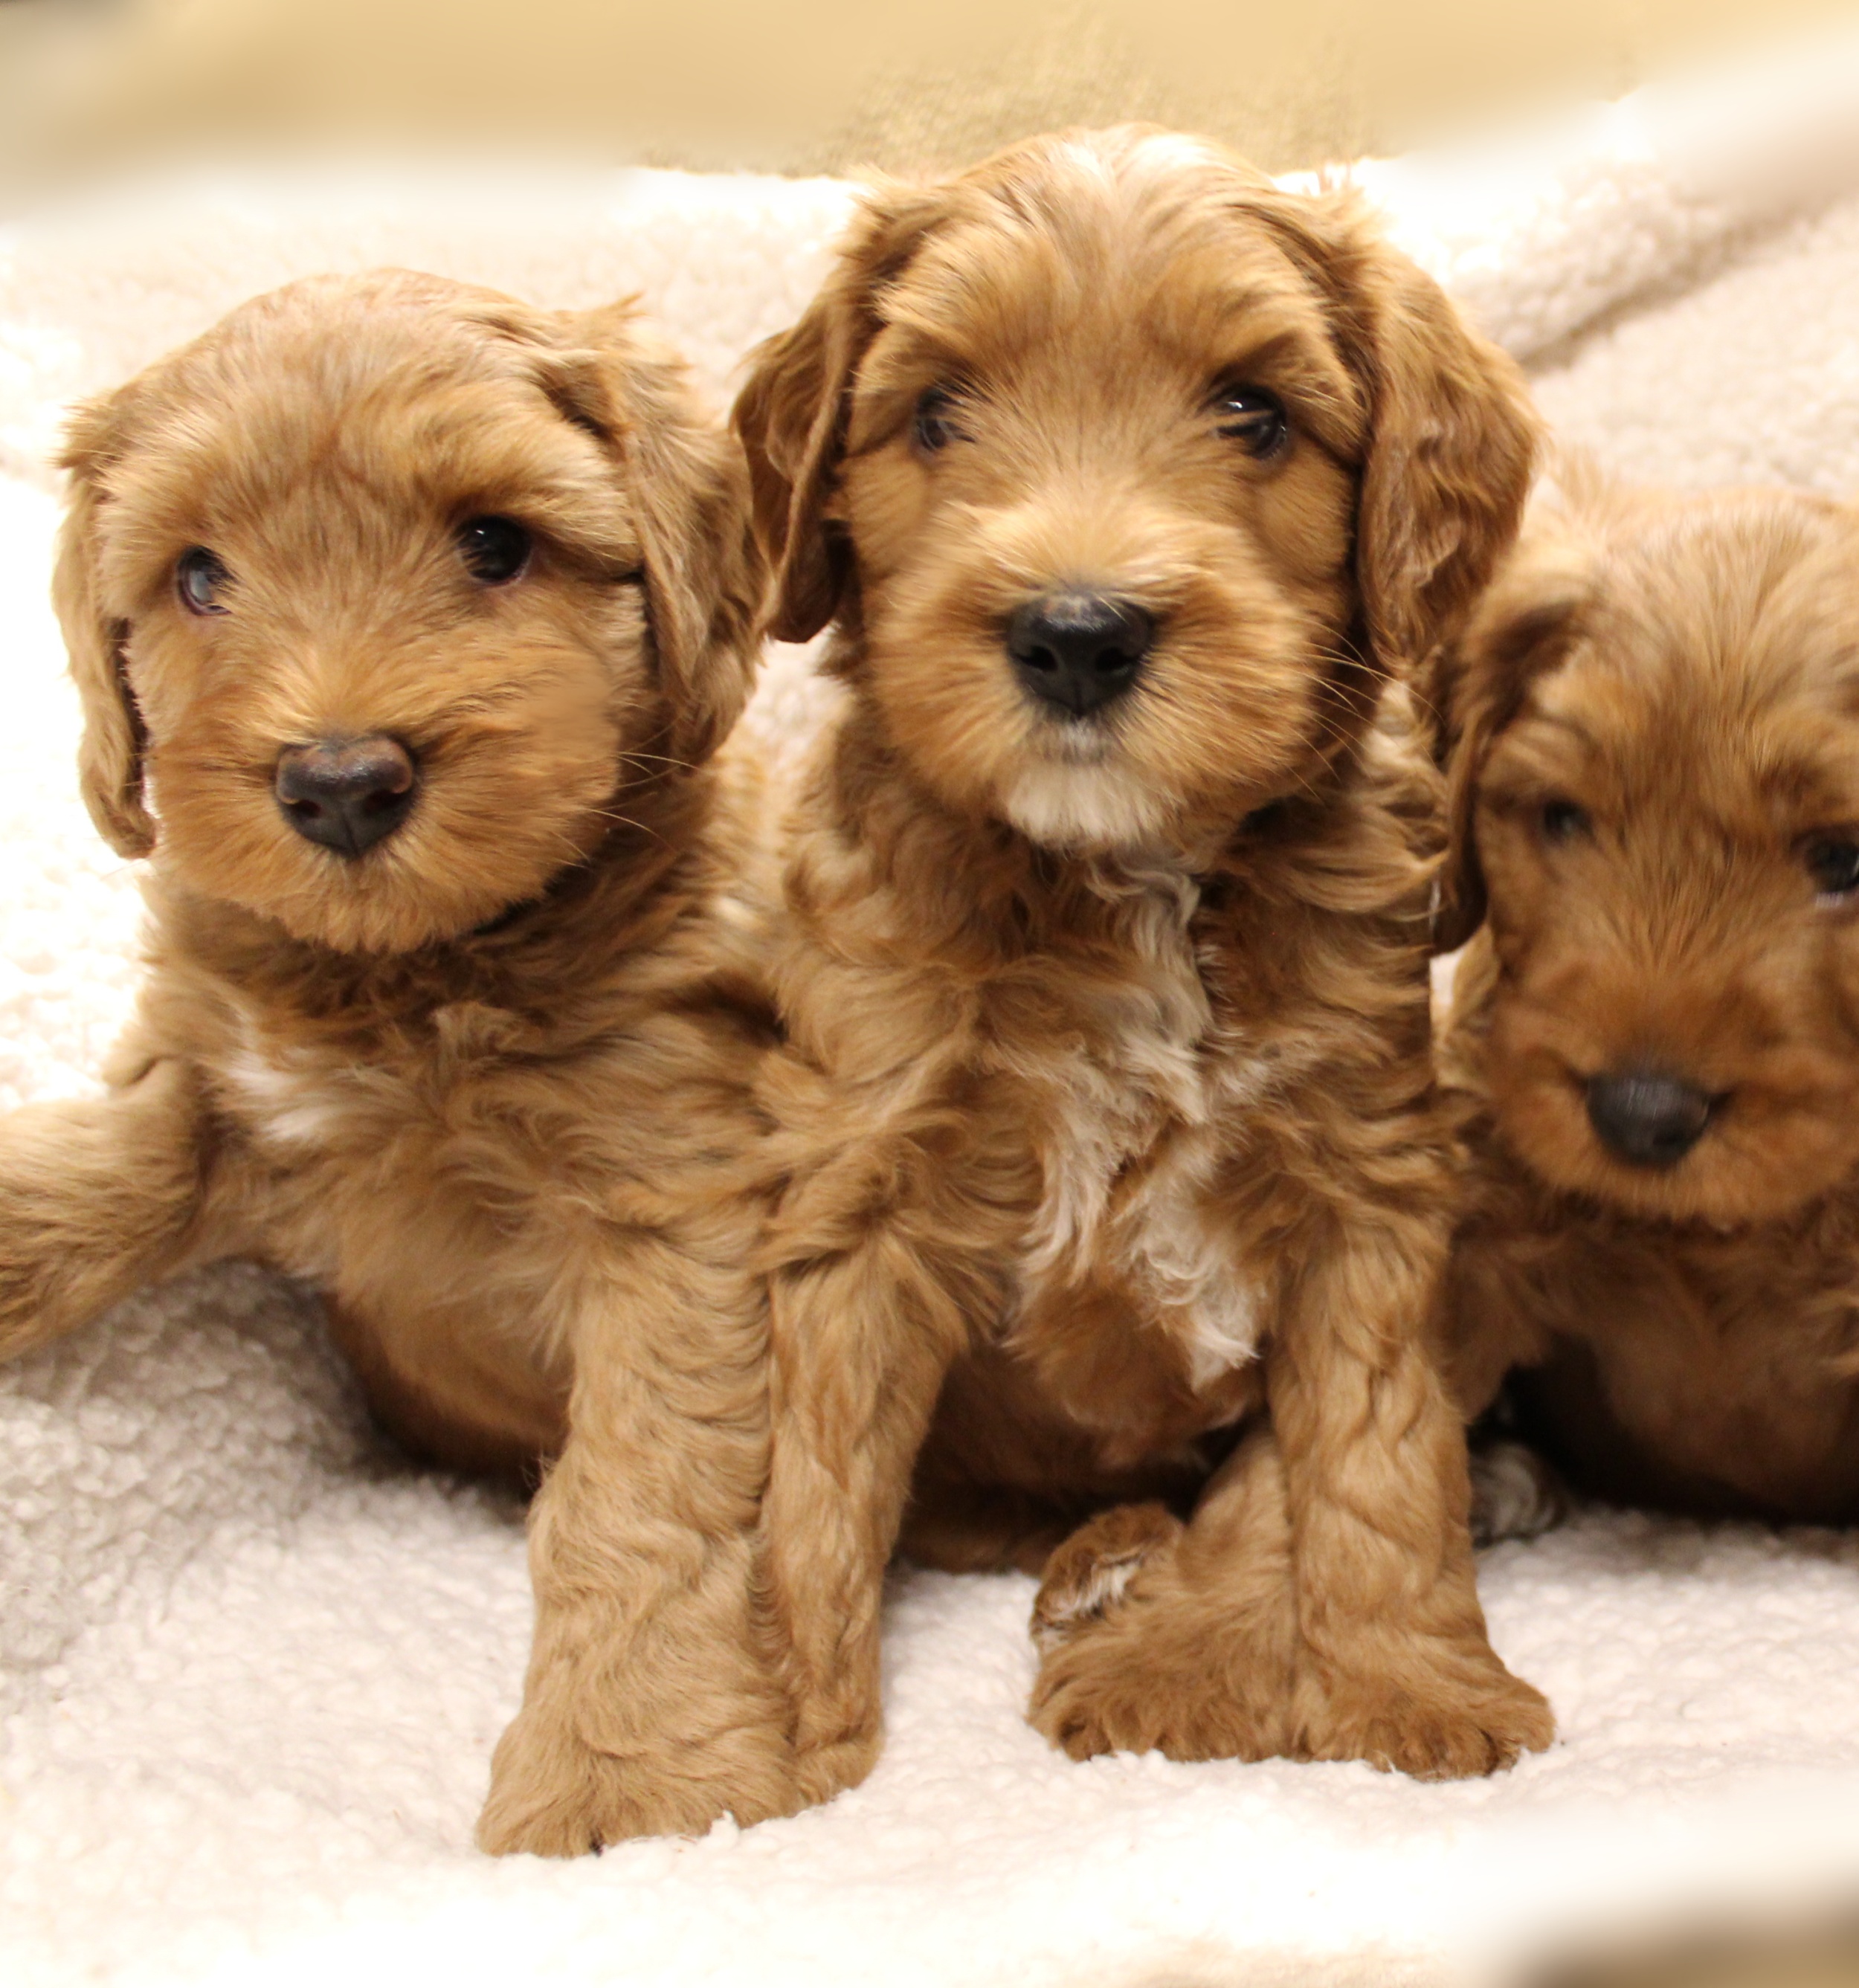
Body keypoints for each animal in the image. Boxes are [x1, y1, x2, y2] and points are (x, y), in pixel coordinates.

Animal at [0, 269, 795, 1854]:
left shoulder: (678, 1192)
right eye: (198, 577)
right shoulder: (235, 1072)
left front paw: (625, 1765)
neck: (415, 977)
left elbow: (641, 1481)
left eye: (495, 543)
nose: (340, 781)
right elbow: (132, 1151)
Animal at [732, 126, 1554, 1804]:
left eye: (1253, 412)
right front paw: (770, 1735)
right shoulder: (859, 1162)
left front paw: (1400, 1686)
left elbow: (1364, 1457)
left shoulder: (1370, 1175)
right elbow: (819, 1481)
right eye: (933, 412)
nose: (1076, 633)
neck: (1130, 880)